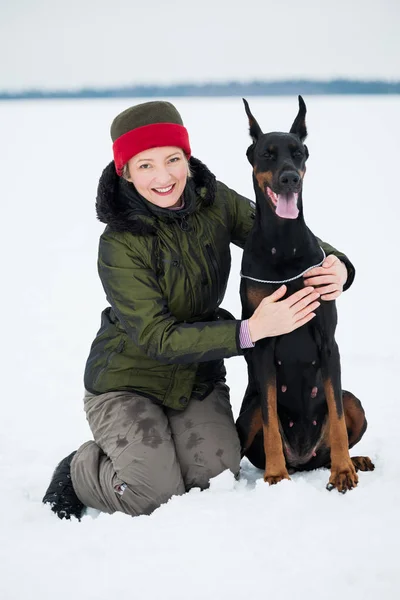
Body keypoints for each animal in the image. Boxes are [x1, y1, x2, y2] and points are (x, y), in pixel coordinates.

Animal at [236, 97, 374, 492]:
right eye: (267, 154)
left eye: (298, 153)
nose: (289, 177)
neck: (283, 244)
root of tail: (303, 458)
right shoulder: (263, 345)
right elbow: (270, 421)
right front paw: (274, 475)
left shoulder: (328, 343)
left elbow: (338, 417)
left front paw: (342, 471)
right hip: (246, 414)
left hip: (354, 402)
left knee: (338, 423)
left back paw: (353, 461)